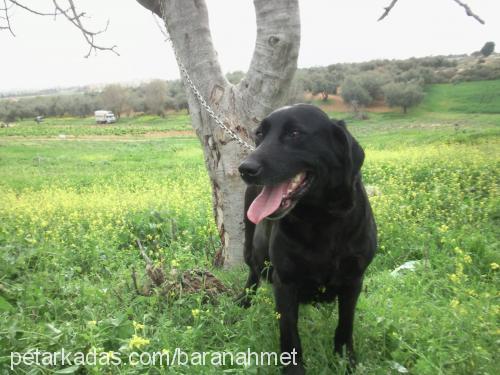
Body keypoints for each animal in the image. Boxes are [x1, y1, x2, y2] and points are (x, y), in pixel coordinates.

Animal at [237, 104, 376, 374]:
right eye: (259, 134)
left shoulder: (354, 279)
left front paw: (346, 361)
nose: (245, 169)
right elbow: (290, 335)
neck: (320, 219)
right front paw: (293, 370)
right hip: (251, 247)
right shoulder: (285, 282)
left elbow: (345, 325)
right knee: (253, 275)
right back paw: (243, 303)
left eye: (294, 133)